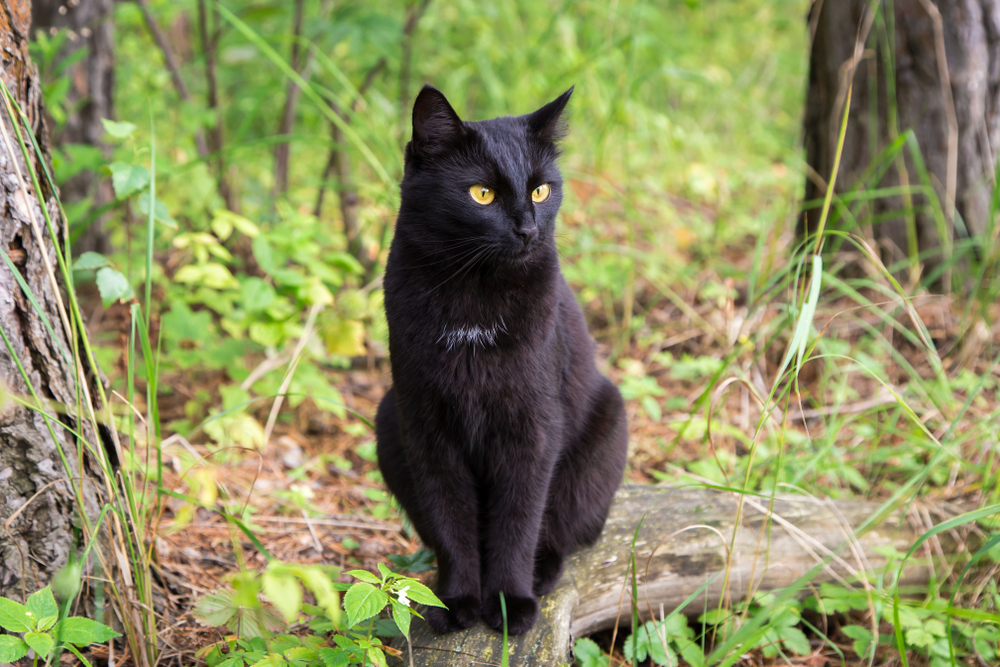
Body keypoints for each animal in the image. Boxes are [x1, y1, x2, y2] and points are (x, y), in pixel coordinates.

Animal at [376, 85, 624, 636]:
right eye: (482, 194)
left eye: (541, 190)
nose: (528, 229)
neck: (472, 302)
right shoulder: (427, 428)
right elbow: (451, 522)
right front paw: (454, 603)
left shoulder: (530, 427)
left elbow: (518, 521)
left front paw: (510, 604)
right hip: (387, 422)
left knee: (559, 530)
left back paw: (542, 574)